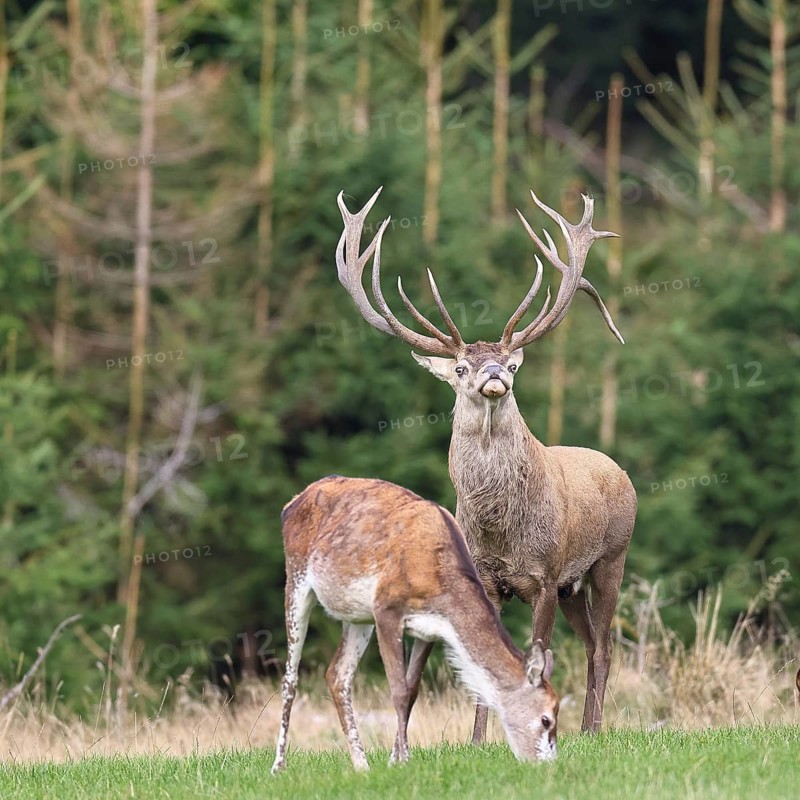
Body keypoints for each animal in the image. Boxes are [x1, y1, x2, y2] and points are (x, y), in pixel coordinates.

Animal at [271, 475, 559, 773]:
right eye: (546, 719)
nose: (549, 765)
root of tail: (291, 503)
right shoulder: (386, 610)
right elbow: (398, 691)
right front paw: (404, 760)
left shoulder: (429, 629)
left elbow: (411, 692)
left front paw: (393, 760)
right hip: (296, 579)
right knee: (290, 677)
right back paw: (278, 766)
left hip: (357, 615)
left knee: (337, 674)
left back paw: (361, 765)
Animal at [334, 186, 637, 737]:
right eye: (459, 367)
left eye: (513, 363)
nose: (495, 371)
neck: (501, 529)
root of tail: (620, 472)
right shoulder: (491, 581)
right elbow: (483, 668)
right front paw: (477, 740)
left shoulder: (545, 574)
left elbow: (537, 659)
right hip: (574, 586)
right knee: (590, 644)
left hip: (610, 558)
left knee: (603, 647)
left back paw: (592, 729)